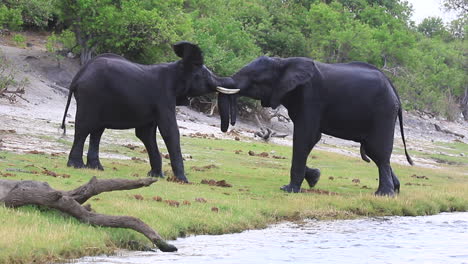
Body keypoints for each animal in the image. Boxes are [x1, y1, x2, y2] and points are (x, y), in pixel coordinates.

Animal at [60, 41, 238, 183]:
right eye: (205, 75)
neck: (177, 67)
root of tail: (78, 76)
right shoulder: (164, 97)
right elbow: (170, 131)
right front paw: (183, 180)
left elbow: (145, 133)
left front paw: (156, 176)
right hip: (91, 95)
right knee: (84, 126)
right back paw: (77, 166)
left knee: (97, 130)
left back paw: (97, 168)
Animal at [219, 55, 414, 196]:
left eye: (255, 80)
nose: (231, 124)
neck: (283, 62)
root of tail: (393, 87)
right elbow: (310, 139)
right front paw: (314, 178)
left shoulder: (310, 97)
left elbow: (306, 136)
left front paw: (289, 190)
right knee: (376, 154)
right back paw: (396, 189)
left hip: (383, 112)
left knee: (379, 152)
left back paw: (384, 194)